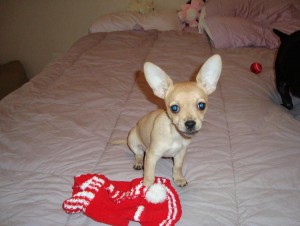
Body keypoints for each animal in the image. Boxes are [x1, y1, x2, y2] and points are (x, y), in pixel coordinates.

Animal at [127, 54, 221, 187]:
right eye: (174, 108)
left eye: (202, 106)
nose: (190, 123)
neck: (175, 135)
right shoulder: (151, 155)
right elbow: (149, 175)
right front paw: (147, 188)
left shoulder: (180, 153)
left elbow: (177, 167)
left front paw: (179, 178)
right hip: (133, 140)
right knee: (139, 153)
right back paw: (139, 163)